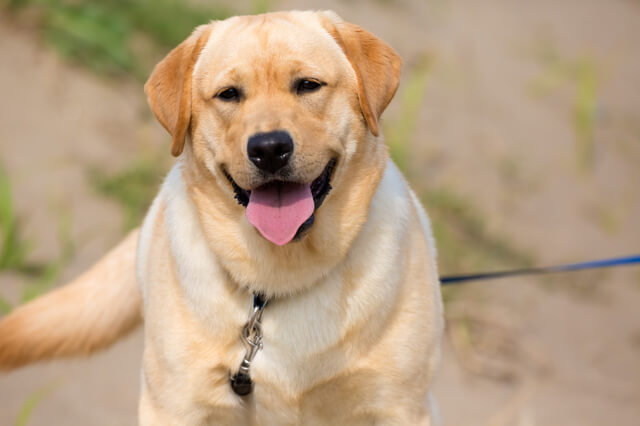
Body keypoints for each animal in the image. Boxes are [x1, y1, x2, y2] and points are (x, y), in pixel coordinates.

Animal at [0, 10, 440, 426]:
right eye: (229, 95)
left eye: (308, 85)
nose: (269, 148)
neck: (281, 274)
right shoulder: (172, 406)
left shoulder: (402, 407)